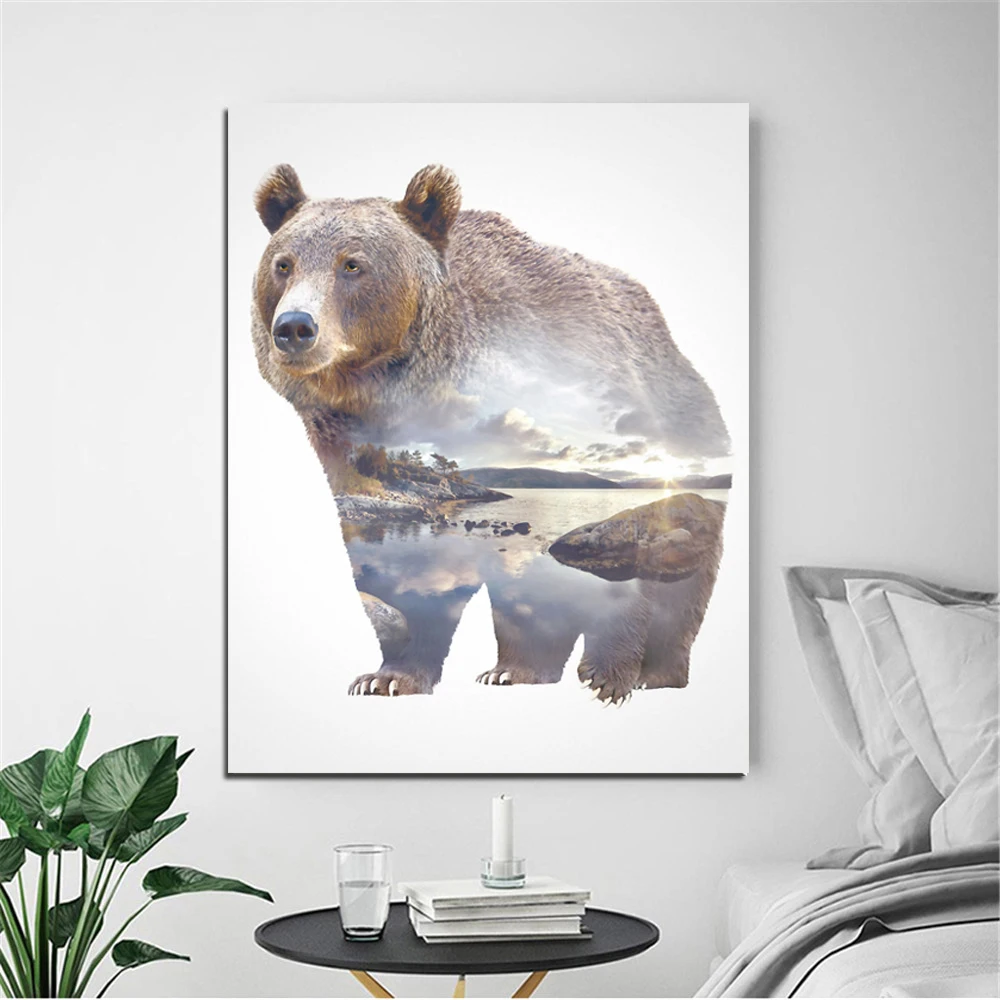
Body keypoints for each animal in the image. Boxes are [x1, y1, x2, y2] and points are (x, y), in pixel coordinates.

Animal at [250, 163, 730, 701]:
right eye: (283, 264)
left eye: (352, 264)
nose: (294, 327)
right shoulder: (342, 446)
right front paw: (387, 675)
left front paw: (608, 675)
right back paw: (514, 669)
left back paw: (656, 673)